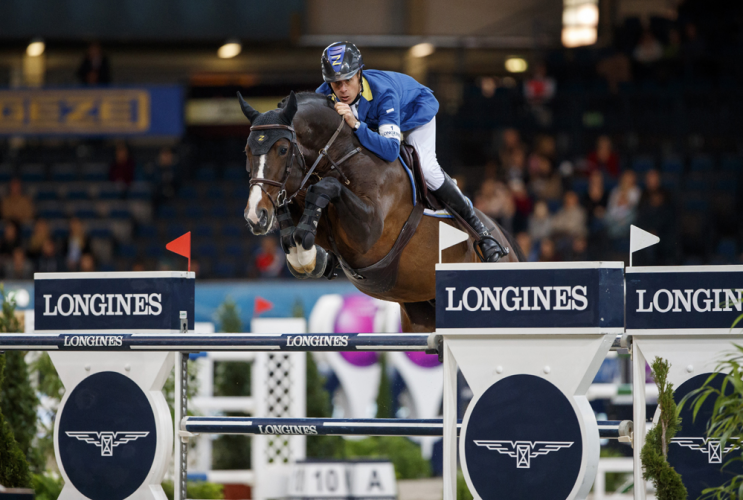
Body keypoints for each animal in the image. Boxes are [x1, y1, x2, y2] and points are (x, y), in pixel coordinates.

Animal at [238, 91, 524, 332]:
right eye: (247, 151)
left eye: (283, 149)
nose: (254, 216)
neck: (343, 155)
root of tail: (507, 244)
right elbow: (298, 208)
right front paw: (304, 253)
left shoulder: (368, 233)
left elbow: (324, 188)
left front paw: (304, 246)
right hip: (421, 315)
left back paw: (489, 246)